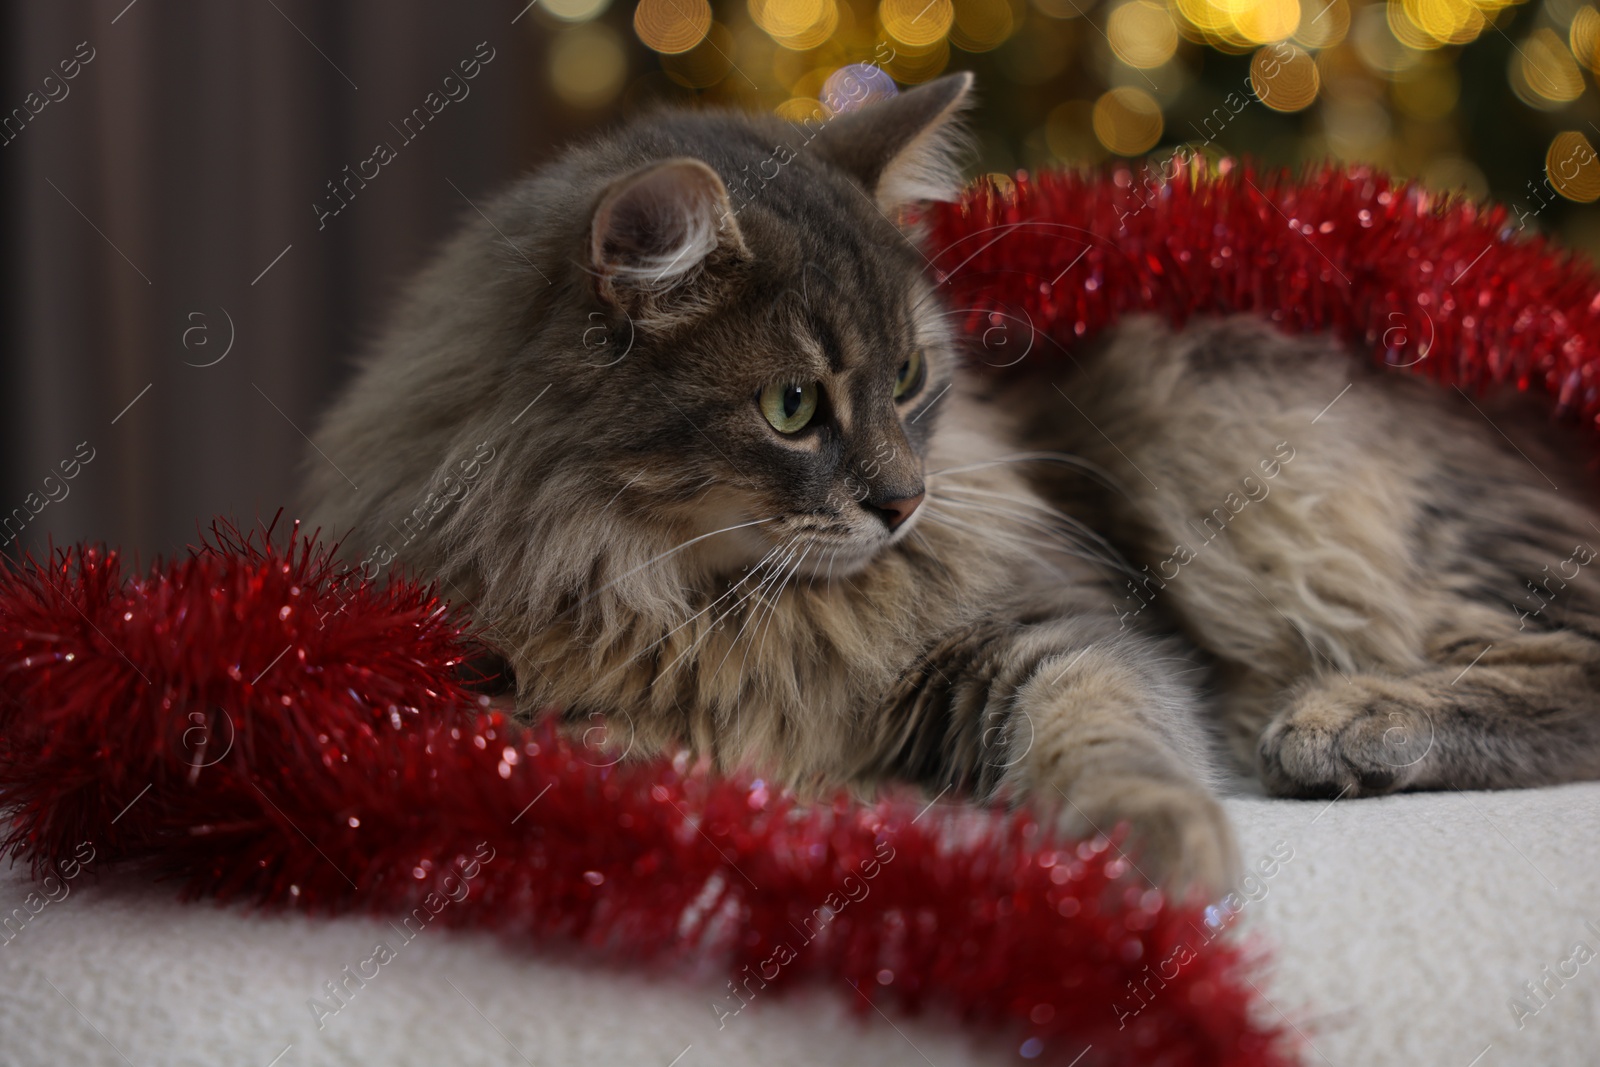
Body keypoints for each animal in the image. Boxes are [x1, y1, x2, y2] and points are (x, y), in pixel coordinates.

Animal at [300, 70, 1600, 895]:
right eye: (792, 407)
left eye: (911, 376)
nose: (904, 501)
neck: (698, 593)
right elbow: (550, 737)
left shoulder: (1049, 626)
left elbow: (1107, 723)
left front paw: (1149, 844)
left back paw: (1347, 724)